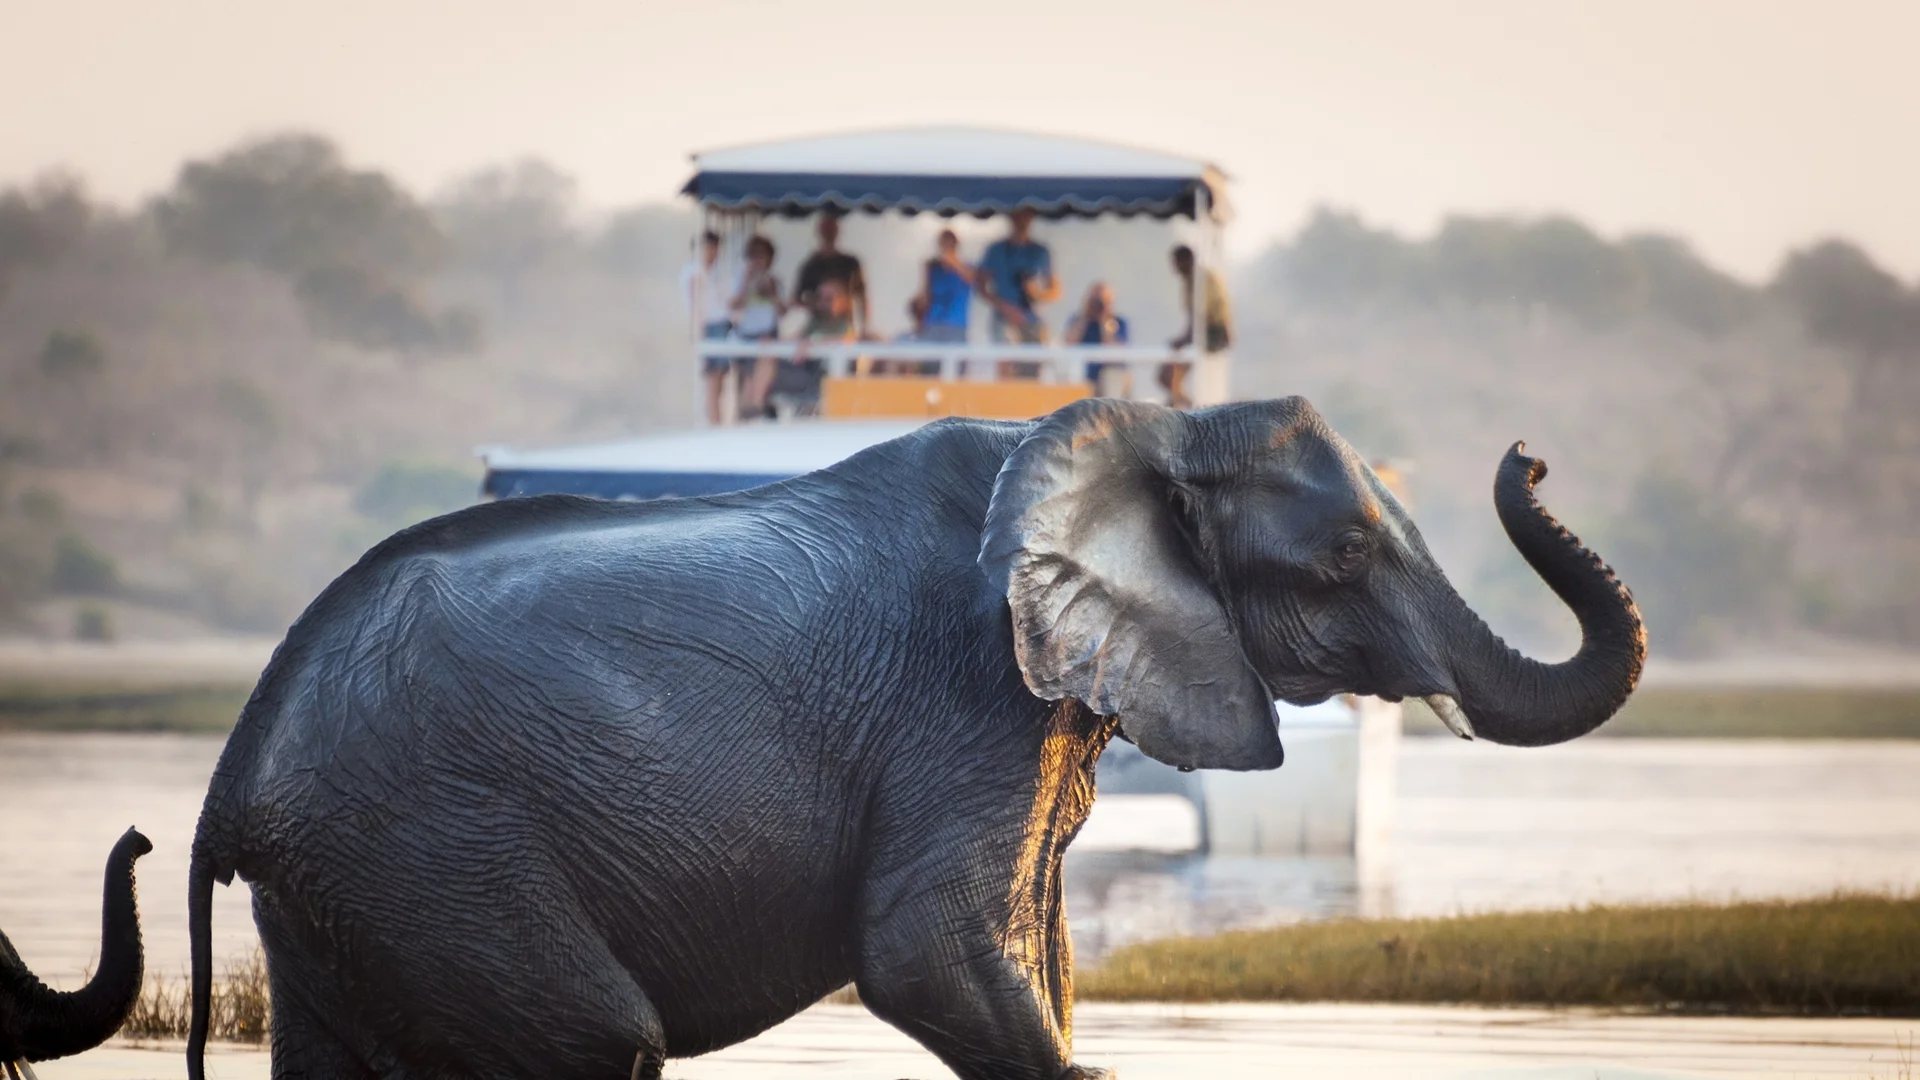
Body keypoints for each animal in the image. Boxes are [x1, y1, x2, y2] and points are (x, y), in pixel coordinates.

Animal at [187, 397, 1643, 1076]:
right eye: (1344, 554)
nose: (1532, 456)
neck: (1139, 429)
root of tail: (233, 775)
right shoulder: (965, 696)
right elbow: (926, 956)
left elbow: (1037, 955)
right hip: (434, 847)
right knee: (595, 1042)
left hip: (353, 888)